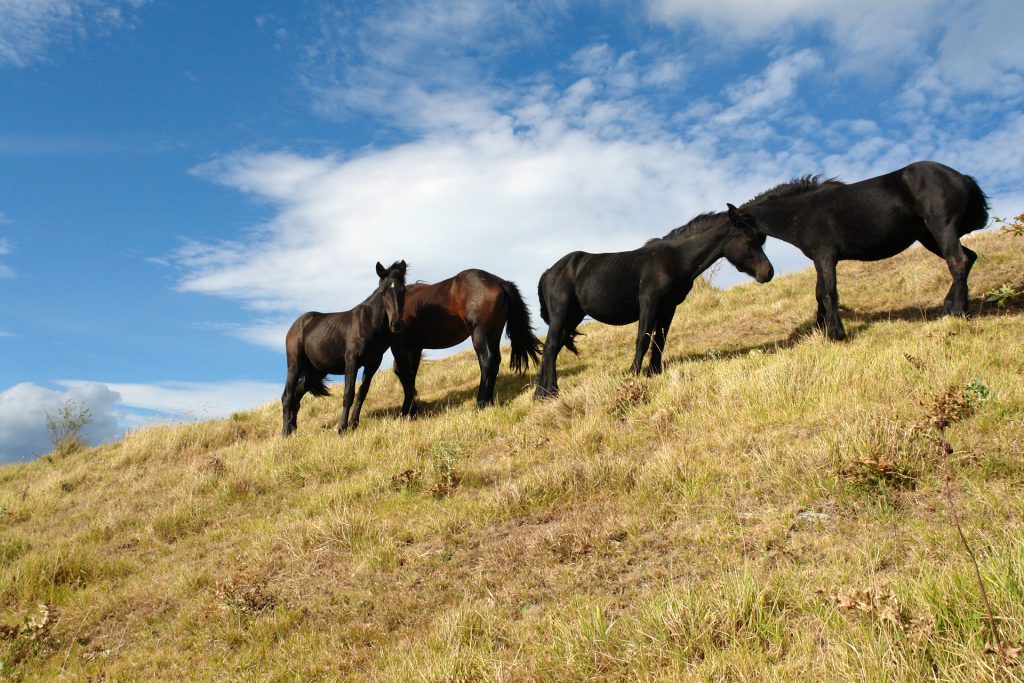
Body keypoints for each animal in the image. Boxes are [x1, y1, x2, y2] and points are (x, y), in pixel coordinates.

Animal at [284, 262, 407, 438]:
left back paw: (293, 429)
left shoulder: (373, 363)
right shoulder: (352, 361)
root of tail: (296, 325)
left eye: (404, 290)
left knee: (296, 395)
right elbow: (348, 393)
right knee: (287, 396)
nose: (396, 324)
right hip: (295, 365)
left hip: (314, 373)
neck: (368, 323)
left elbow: (362, 392)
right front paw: (342, 428)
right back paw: (285, 432)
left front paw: (354, 424)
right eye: (383, 292)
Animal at [387, 270, 540, 413]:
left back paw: (481, 403)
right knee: (495, 360)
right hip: (494, 332)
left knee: (487, 360)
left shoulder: (400, 346)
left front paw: (407, 410)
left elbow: (403, 372)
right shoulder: (415, 348)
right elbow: (411, 373)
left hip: (479, 333)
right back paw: (489, 401)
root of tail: (500, 282)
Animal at [536, 205, 774, 397]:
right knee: (550, 347)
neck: (675, 259)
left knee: (551, 349)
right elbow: (643, 339)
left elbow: (659, 340)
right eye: (749, 240)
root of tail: (549, 272)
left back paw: (540, 394)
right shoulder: (649, 303)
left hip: (572, 318)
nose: (768, 272)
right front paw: (633, 374)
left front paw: (654, 373)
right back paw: (552, 391)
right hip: (561, 315)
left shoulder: (668, 308)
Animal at [741, 160, 987, 342]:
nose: (765, 273)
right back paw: (954, 309)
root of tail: (962, 178)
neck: (801, 212)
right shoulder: (820, 260)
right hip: (928, 237)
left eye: (746, 237)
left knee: (958, 261)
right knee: (969, 258)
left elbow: (828, 292)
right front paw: (819, 329)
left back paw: (956, 313)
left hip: (941, 228)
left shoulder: (825, 257)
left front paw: (835, 334)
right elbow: (820, 293)